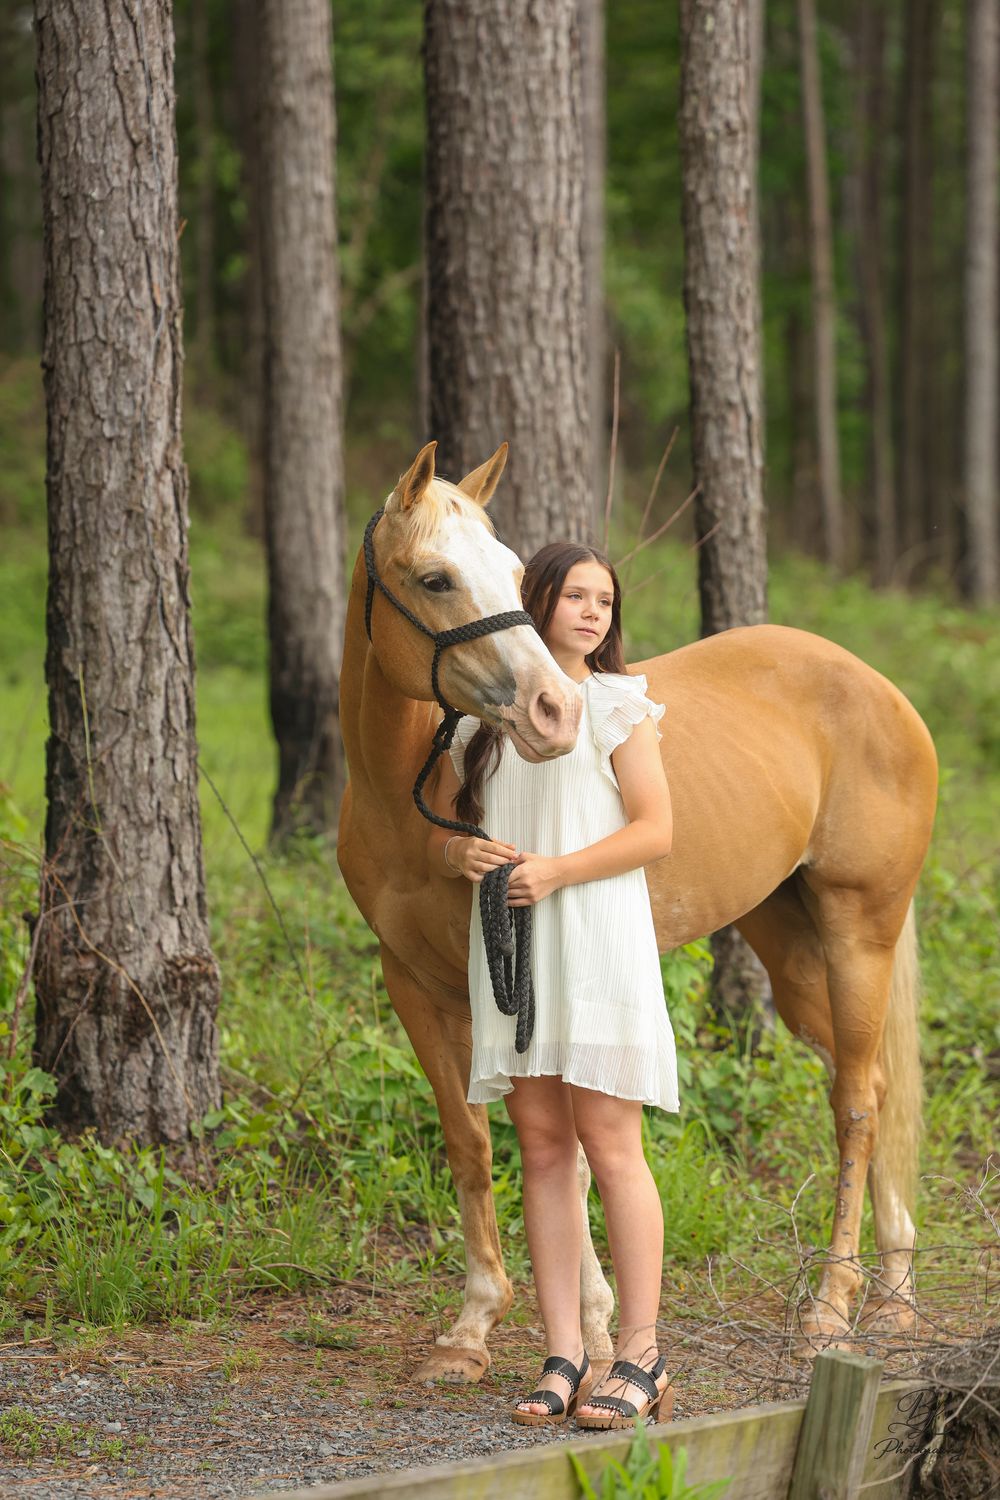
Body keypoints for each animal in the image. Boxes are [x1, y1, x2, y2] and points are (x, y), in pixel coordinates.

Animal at [337, 441, 938, 1382]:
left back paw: (830, 1310)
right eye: (435, 578)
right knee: (869, 1080)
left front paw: (588, 1329)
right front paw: (472, 1329)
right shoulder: (419, 990)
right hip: (794, 950)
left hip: (859, 931)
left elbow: (577, 1162)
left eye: (513, 569)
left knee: (856, 1106)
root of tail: (878, 685)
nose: (552, 709)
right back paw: (895, 1297)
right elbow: (472, 1147)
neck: (411, 802)